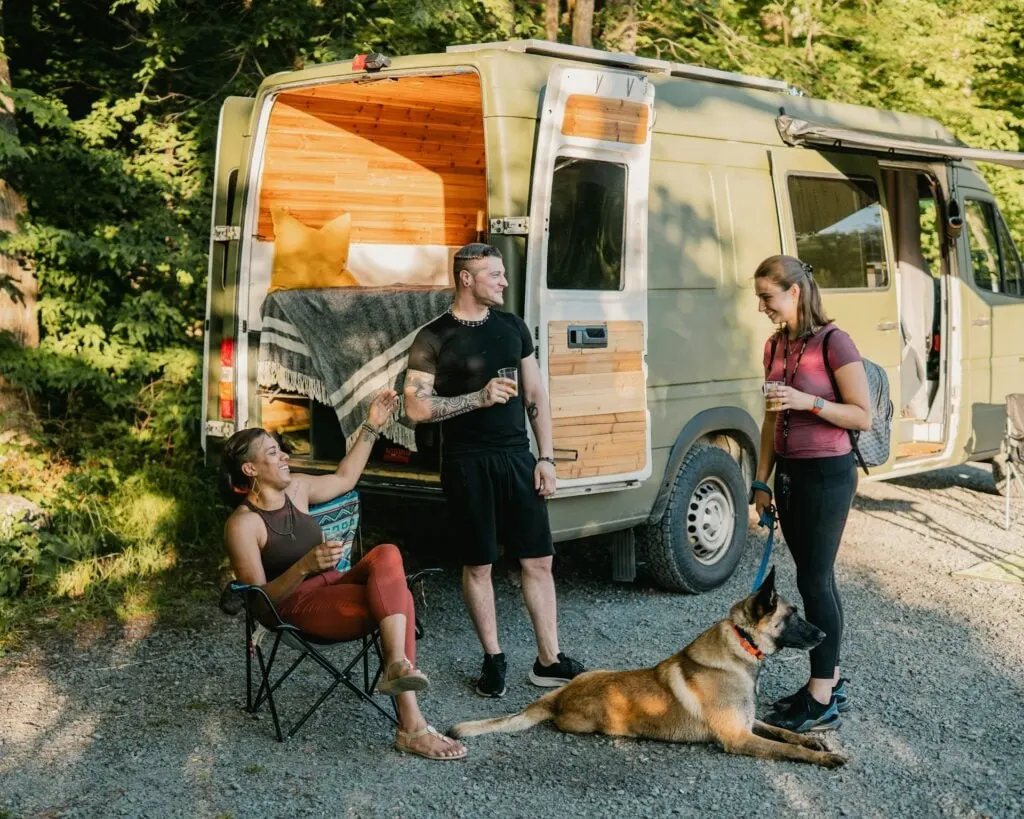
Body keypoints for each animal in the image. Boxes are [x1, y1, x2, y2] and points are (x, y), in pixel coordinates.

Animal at [452, 569, 843, 769]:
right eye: (793, 616)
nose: (826, 634)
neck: (739, 643)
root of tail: (558, 697)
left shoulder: (747, 724)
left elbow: (784, 733)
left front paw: (813, 739)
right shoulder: (738, 737)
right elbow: (789, 750)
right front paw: (825, 757)